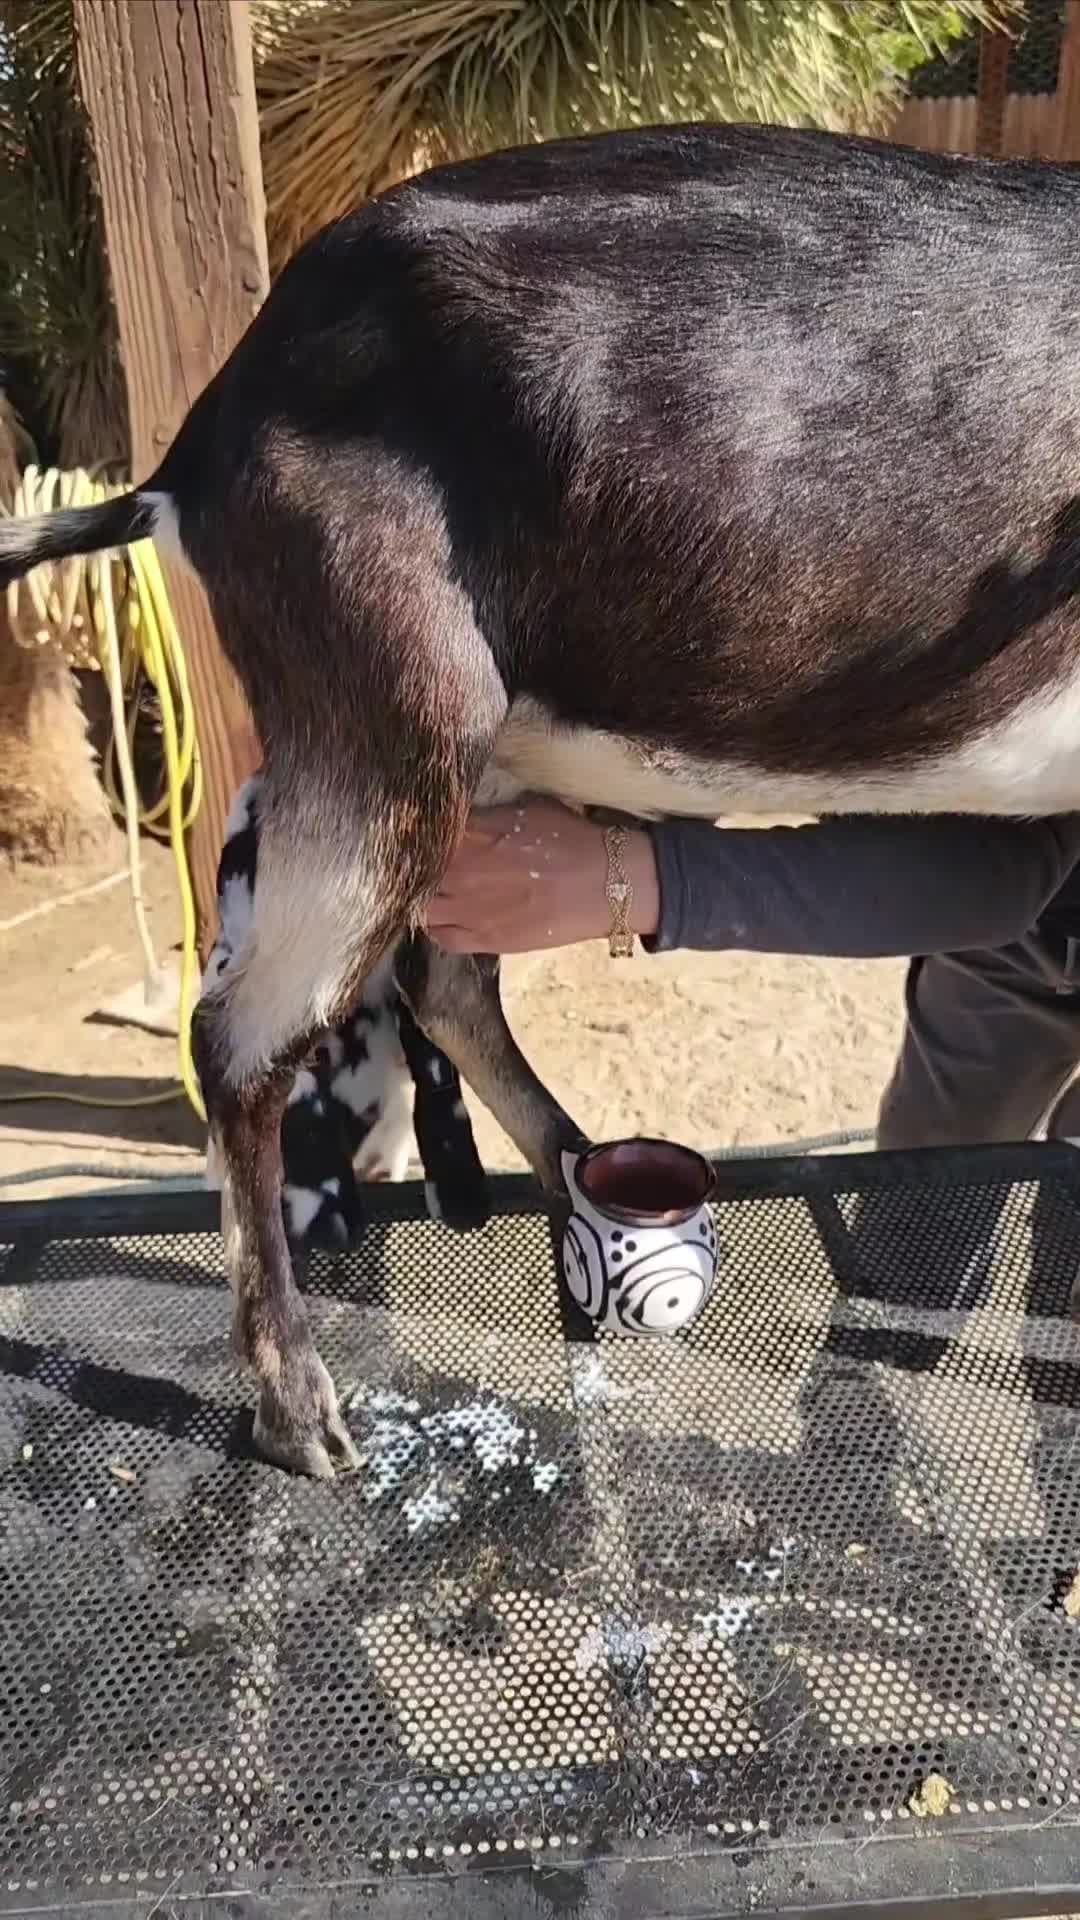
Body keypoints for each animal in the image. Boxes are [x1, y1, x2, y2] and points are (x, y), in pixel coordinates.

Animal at [5, 124, 1080, 1475]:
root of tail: (199, 441)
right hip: (393, 717)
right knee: (241, 1039)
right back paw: (300, 1408)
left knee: (444, 983)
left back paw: (587, 1180)